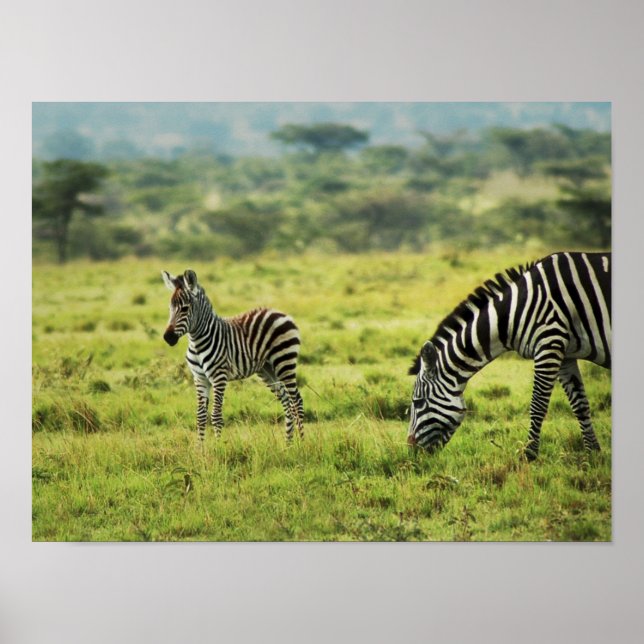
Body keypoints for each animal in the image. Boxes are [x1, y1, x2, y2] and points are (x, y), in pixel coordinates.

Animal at [162, 269, 304, 441]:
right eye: (170, 308)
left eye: (185, 308)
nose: (167, 337)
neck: (196, 342)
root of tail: (280, 312)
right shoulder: (200, 378)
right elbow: (200, 416)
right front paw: (200, 448)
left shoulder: (219, 377)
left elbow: (216, 416)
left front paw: (219, 446)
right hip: (267, 369)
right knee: (286, 401)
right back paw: (288, 444)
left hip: (284, 361)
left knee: (296, 400)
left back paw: (303, 443)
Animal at [407, 251, 611, 460]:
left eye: (418, 402)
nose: (411, 452)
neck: (515, 312)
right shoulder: (564, 353)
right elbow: (580, 404)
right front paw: (593, 454)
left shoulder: (549, 342)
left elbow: (538, 403)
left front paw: (528, 454)